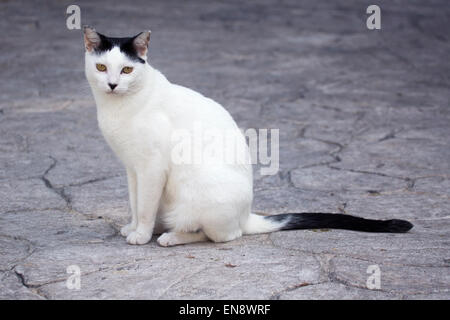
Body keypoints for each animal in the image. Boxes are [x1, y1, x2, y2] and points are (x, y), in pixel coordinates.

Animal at [82, 28, 414, 248]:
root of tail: (246, 215)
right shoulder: (132, 169)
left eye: (126, 70)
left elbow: (146, 206)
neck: (117, 108)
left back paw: (170, 236)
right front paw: (133, 227)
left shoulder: (151, 168)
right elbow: (135, 202)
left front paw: (140, 234)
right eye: (101, 67)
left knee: (220, 235)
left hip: (201, 197)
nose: (112, 84)